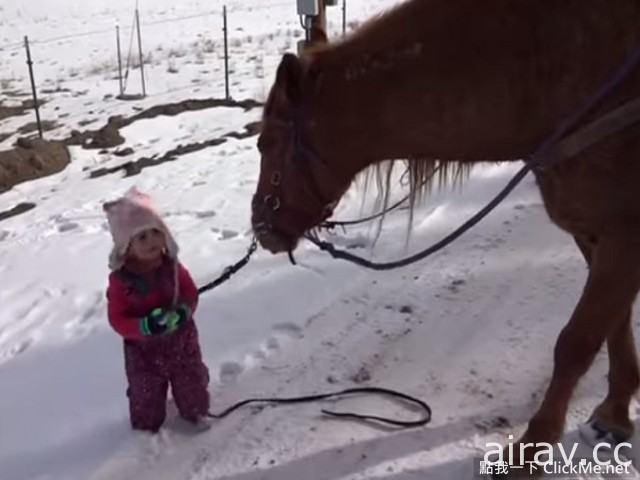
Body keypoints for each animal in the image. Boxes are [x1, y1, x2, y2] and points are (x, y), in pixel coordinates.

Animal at [251, 0, 640, 472]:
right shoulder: (597, 234)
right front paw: (615, 412)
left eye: (265, 142)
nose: (260, 225)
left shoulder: (624, 237)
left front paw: (531, 449)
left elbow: (576, 343)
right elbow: (613, 326)